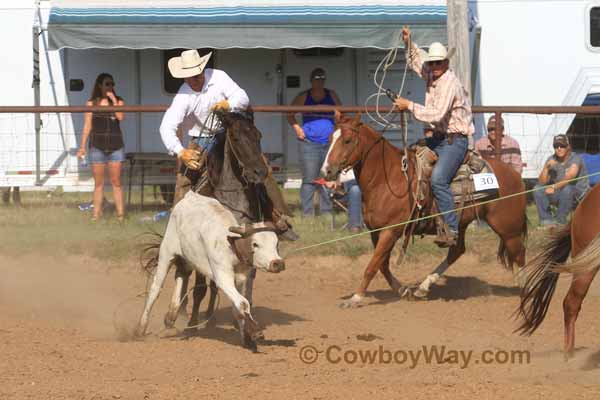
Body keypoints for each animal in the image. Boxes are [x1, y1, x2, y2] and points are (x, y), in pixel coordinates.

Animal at [322, 111, 528, 308]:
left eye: (347, 140)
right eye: (331, 138)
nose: (327, 171)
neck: (387, 179)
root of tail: (514, 174)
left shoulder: (390, 231)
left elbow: (372, 266)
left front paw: (355, 299)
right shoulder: (376, 231)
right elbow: (382, 265)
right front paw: (403, 290)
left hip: (508, 228)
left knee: (519, 254)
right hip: (461, 224)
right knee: (457, 250)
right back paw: (423, 287)